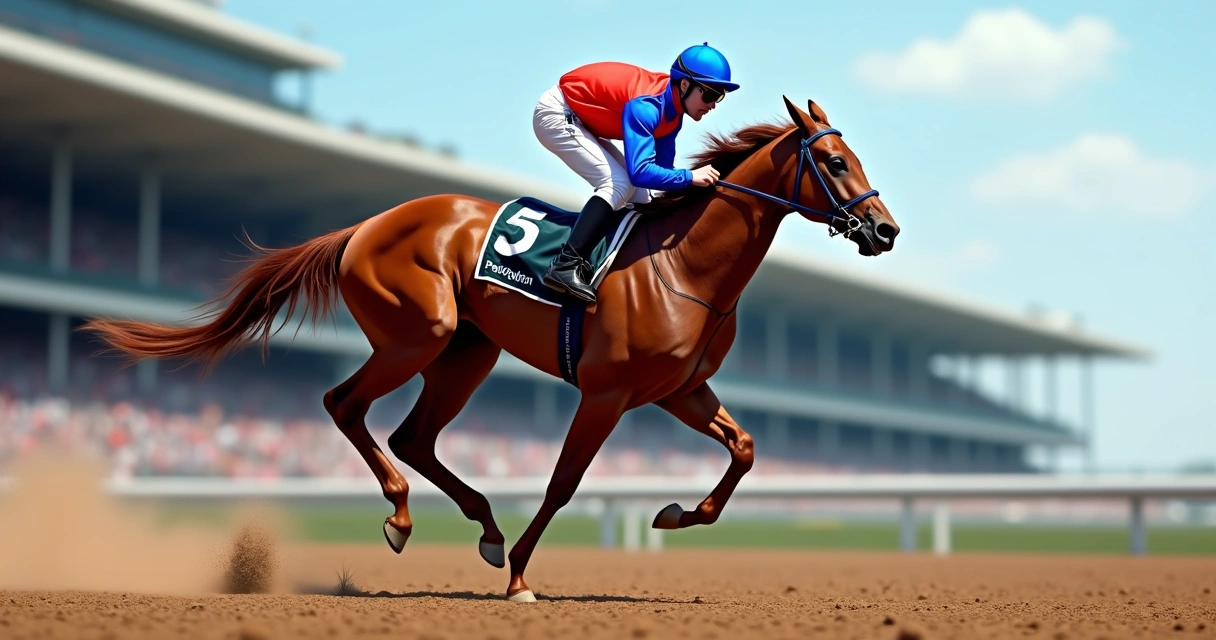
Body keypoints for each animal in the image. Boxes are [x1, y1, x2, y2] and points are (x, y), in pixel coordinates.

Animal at [81, 96, 899, 602]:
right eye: (834, 164)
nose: (885, 230)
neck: (686, 266)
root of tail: (364, 226)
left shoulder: (678, 390)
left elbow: (747, 448)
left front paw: (674, 513)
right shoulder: (606, 392)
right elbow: (563, 485)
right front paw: (522, 582)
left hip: (468, 353)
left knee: (412, 436)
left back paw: (482, 528)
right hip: (421, 333)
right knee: (344, 404)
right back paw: (404, 518)